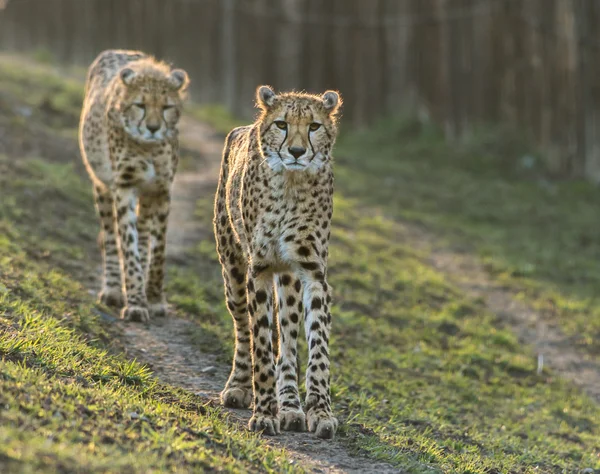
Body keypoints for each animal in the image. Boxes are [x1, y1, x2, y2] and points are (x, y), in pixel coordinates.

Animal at [78, 51, 189, 322]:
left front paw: (155, 299)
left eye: (167, 107)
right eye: (140, 105)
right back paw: (113, 290)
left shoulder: (161, 190)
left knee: (144, 233)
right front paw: (137, 302)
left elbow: (157, 252)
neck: (148, 147)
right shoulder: (124, 186)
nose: (153, 128)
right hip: (102, 186)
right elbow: (127, 244)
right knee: (110, 236)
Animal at [214, 86, 342, 440]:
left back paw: (291, 407)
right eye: (282, 124)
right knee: (243, 327)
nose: (297, 151)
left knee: (287, 338)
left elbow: (316, 347)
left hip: (288, 279)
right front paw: (264, 413)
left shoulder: (312, 273)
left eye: (314, 126)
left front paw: (319, 412)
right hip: (232, 268)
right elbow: (259, 341)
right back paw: (240, 386)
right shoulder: (258, 269)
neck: (290, 182)